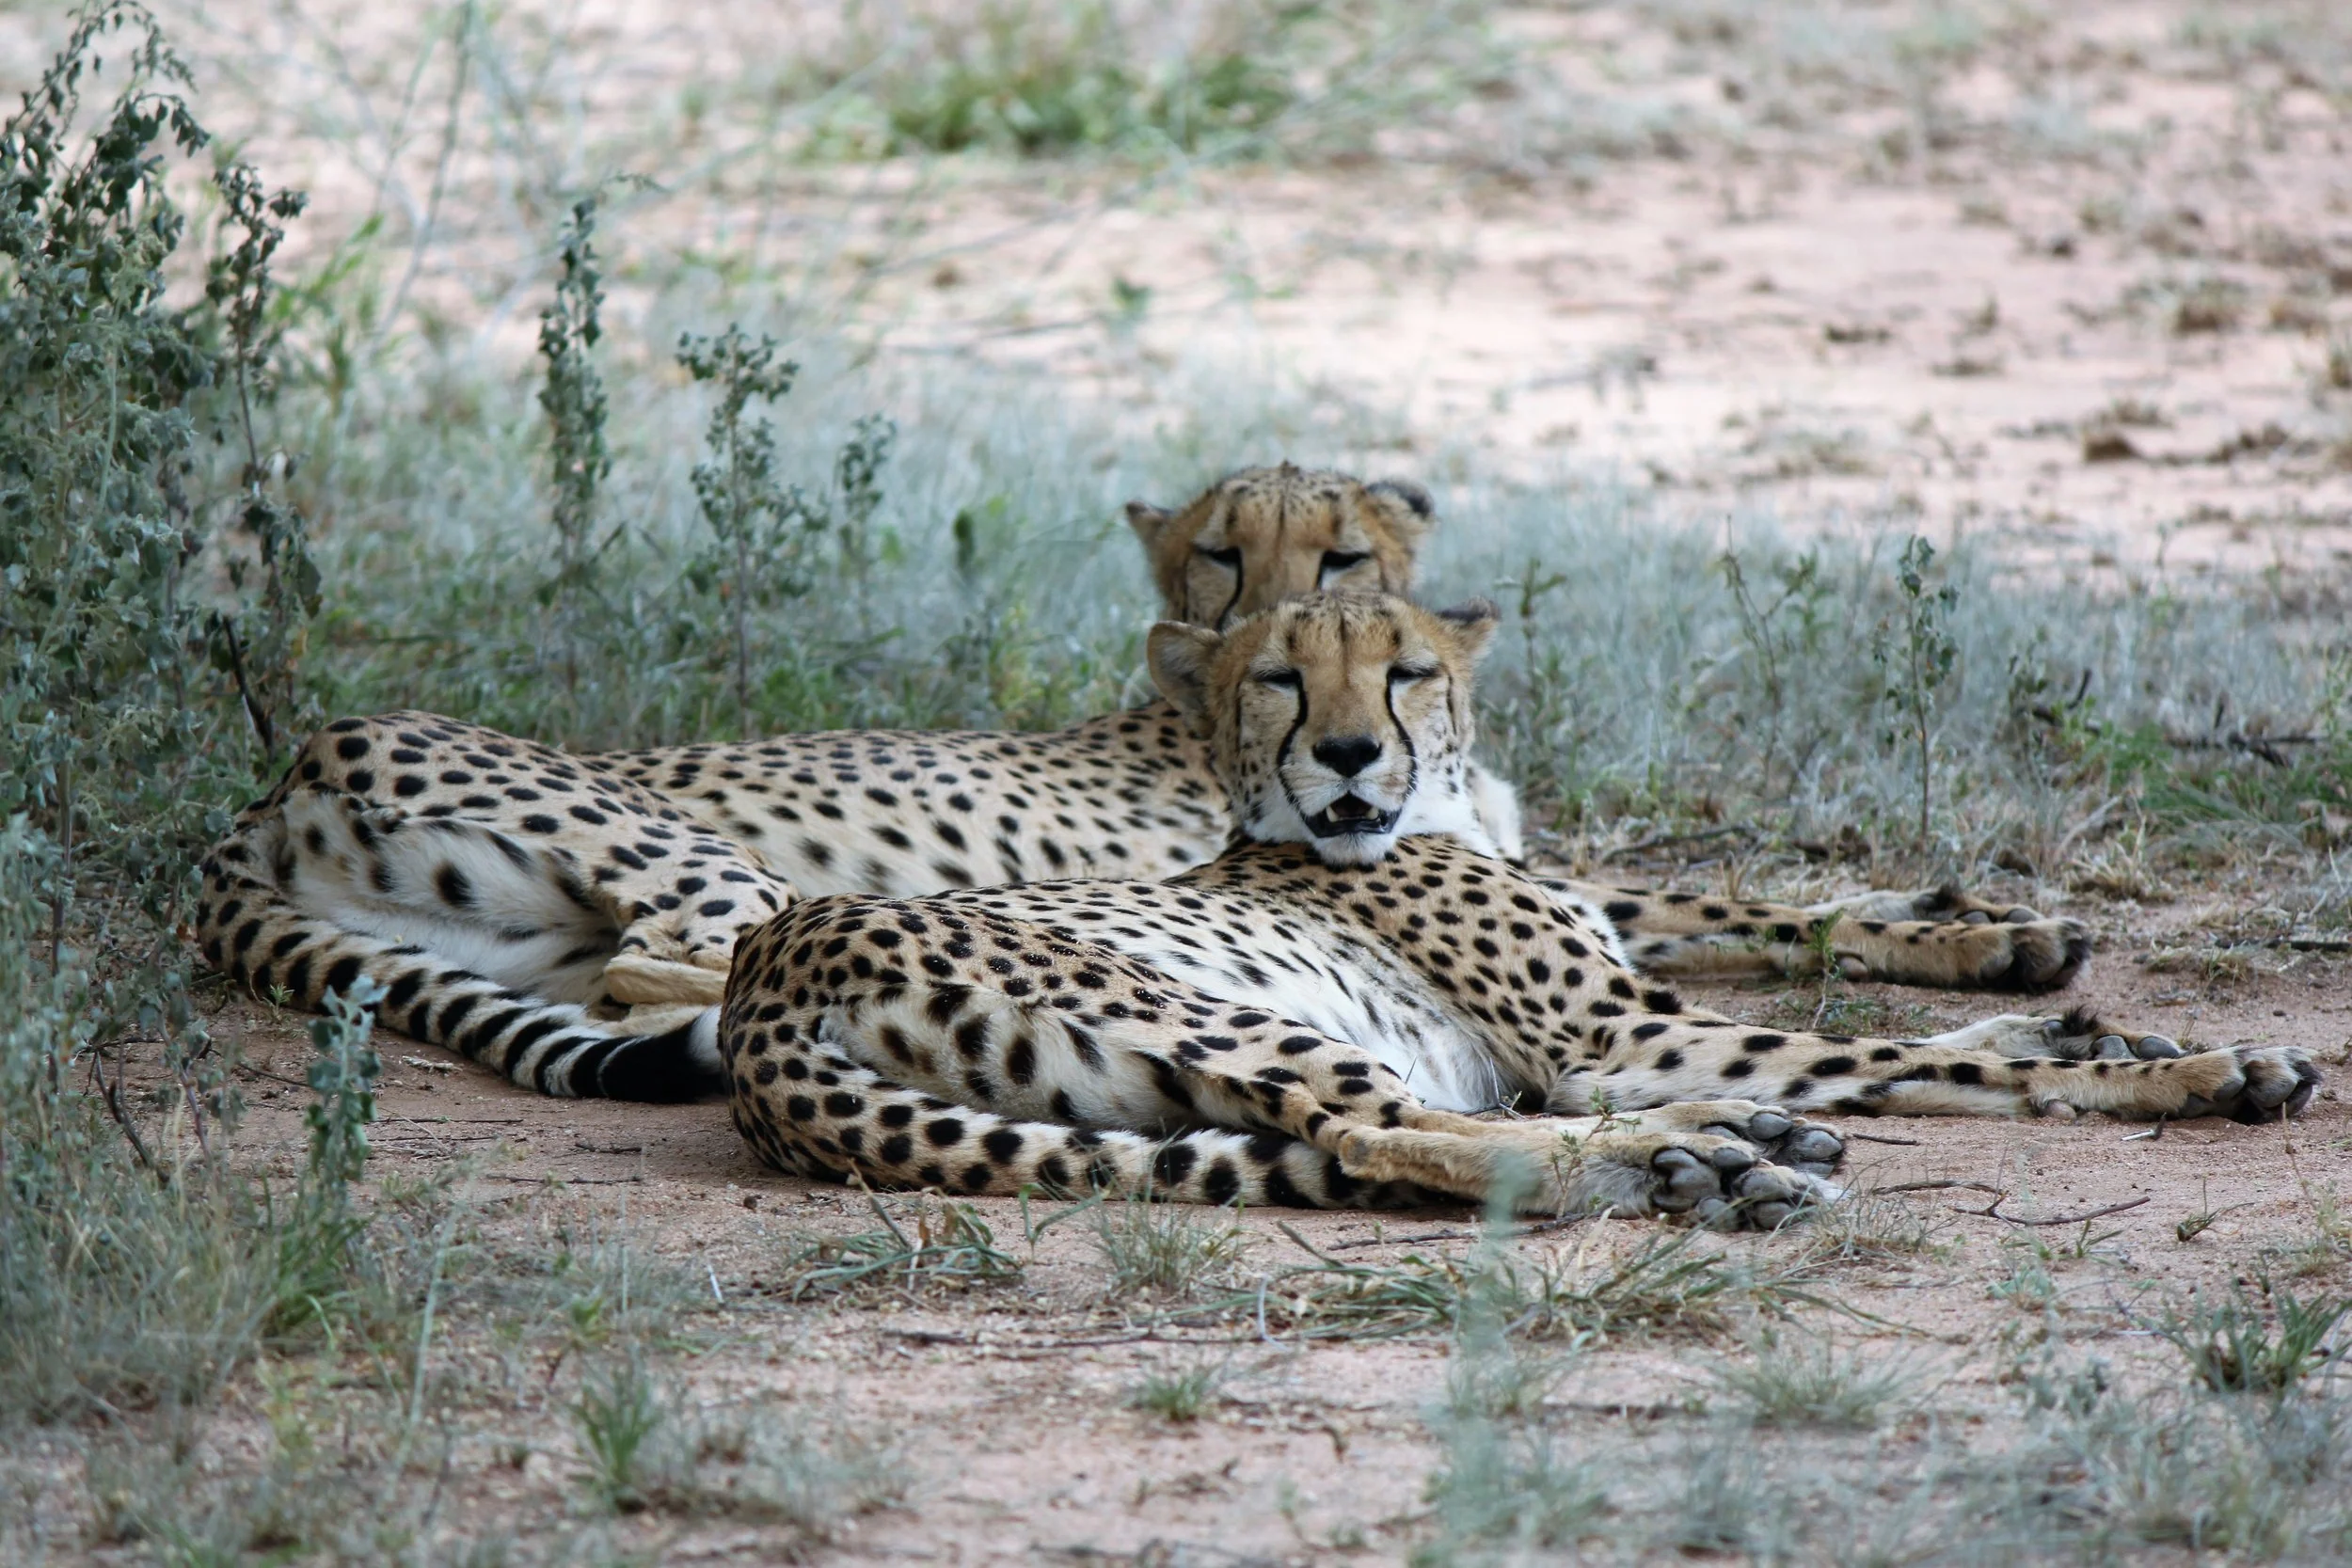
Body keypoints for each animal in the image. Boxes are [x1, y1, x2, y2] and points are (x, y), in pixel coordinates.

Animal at [195, 466, 2089, 1099]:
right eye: (1219, 559)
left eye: (1344, 561)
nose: (1336, 736)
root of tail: (270, 783)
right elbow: (1694, 906)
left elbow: (1718, 894)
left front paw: (1970, 924)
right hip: (711, 871)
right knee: (667, 966)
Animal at [709, 591, 2317, 1223]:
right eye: (1281, 678)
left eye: (1407, 670)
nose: (1350, 755)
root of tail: (757, 994)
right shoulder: (1616, 1032)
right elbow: (1901, 1058)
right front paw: (2206, 1068)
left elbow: (1905, 1006)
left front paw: (2061, 1005)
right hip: (1216, 1009)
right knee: (1391, 1127)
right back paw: (1705, 1157)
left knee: (1371, 1141)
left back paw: (1716, 1153)